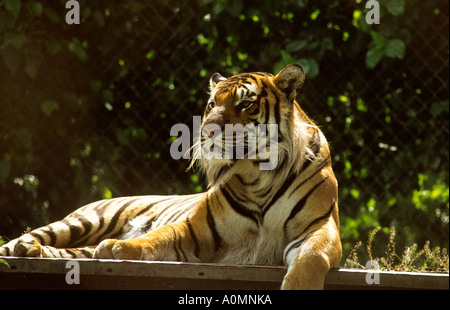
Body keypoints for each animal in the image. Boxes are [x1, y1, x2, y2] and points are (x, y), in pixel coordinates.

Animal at [0, 64, 342, 290]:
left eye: (245, 103)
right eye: (211, 104)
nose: (207, 132)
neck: (258, 174)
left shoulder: (319, 227)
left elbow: (311, 257)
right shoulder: (195, 230)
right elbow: (156, 236)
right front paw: (117, 247)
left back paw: (33, 252)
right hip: (85, 221)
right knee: (27, 238)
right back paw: (26, 248)